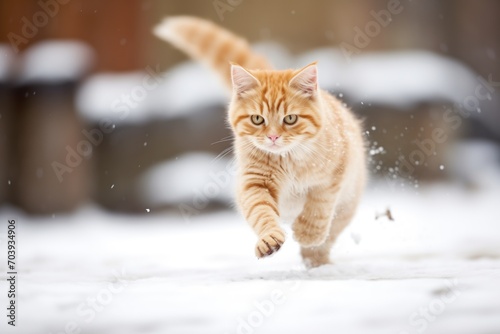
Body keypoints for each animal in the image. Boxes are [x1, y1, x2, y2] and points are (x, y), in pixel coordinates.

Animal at [154, 15, 366, 268]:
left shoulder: (334, 175)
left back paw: (316, 259)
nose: (273, 136)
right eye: (257, 119)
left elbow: (319, 205)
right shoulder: (254, 183)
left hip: (347, 205)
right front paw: (269, 239)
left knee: (329, 233)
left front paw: (307, 233)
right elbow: (261, 212)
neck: (288, 160)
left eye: (290, 118)